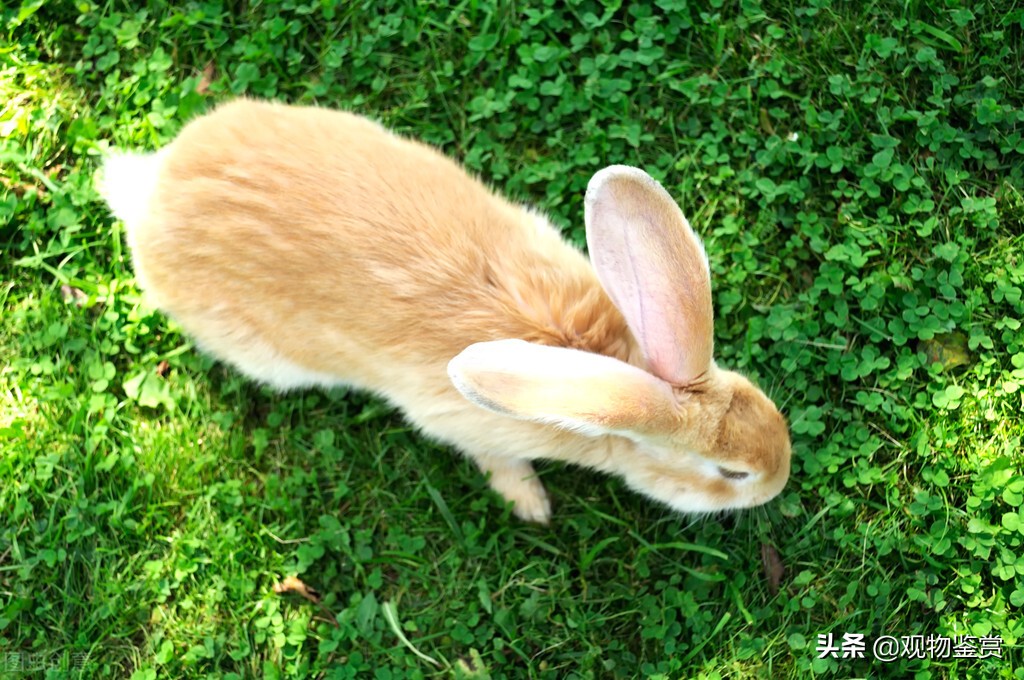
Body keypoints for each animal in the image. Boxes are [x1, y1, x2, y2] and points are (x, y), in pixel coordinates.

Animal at [99, 98, 790, 522]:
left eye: (768, 409)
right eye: (731, 473)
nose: (781, 479)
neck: (613, 367)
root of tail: (152, 193)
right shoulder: (471, 427)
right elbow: (498, 463)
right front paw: (531, 505)